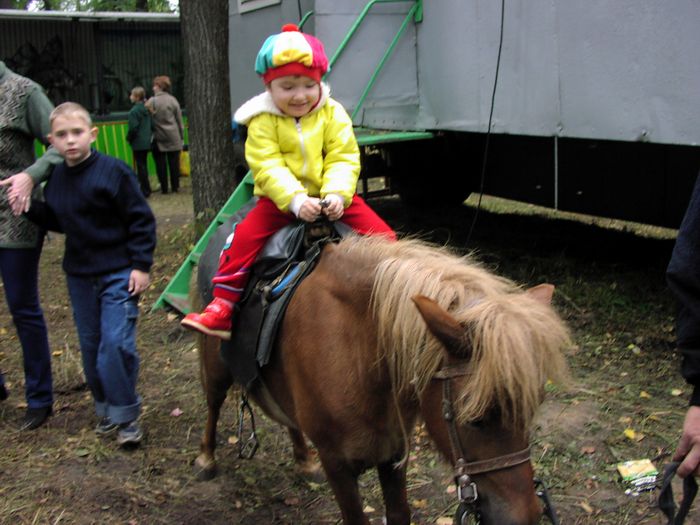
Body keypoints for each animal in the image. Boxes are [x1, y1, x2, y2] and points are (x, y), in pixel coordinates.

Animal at [193, 234, 570, 525]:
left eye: (531, 410)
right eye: (476, 419)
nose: (526, 517)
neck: (357, 354)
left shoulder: (393, 453)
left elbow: (400, 513)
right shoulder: (338, 465)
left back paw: (303, 459)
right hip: (216, 369)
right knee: (212, 404)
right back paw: (207, 458)